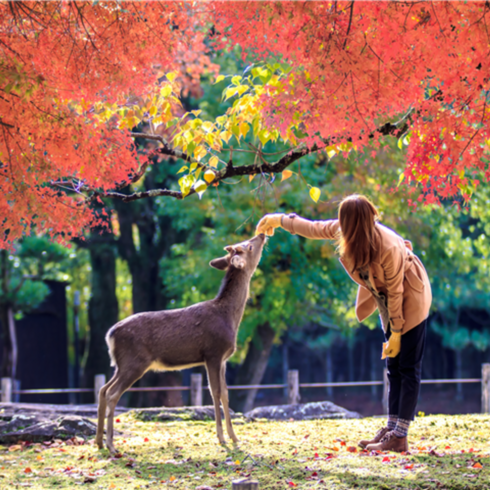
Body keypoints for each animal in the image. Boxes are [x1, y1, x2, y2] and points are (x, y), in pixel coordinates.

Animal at [94, 233, 266, 452]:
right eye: (250, 246)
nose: (262, 234)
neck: (230, 318)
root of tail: (110, 334)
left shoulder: (223, 359)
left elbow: (226, 393)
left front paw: (234, 438)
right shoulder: (213, 352)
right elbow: (215, 392)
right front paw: (221, 438)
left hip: (121, 364)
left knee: (102, 389)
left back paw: (99, 441)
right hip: (135, 361)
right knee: (112, 393)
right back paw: (111, 445)